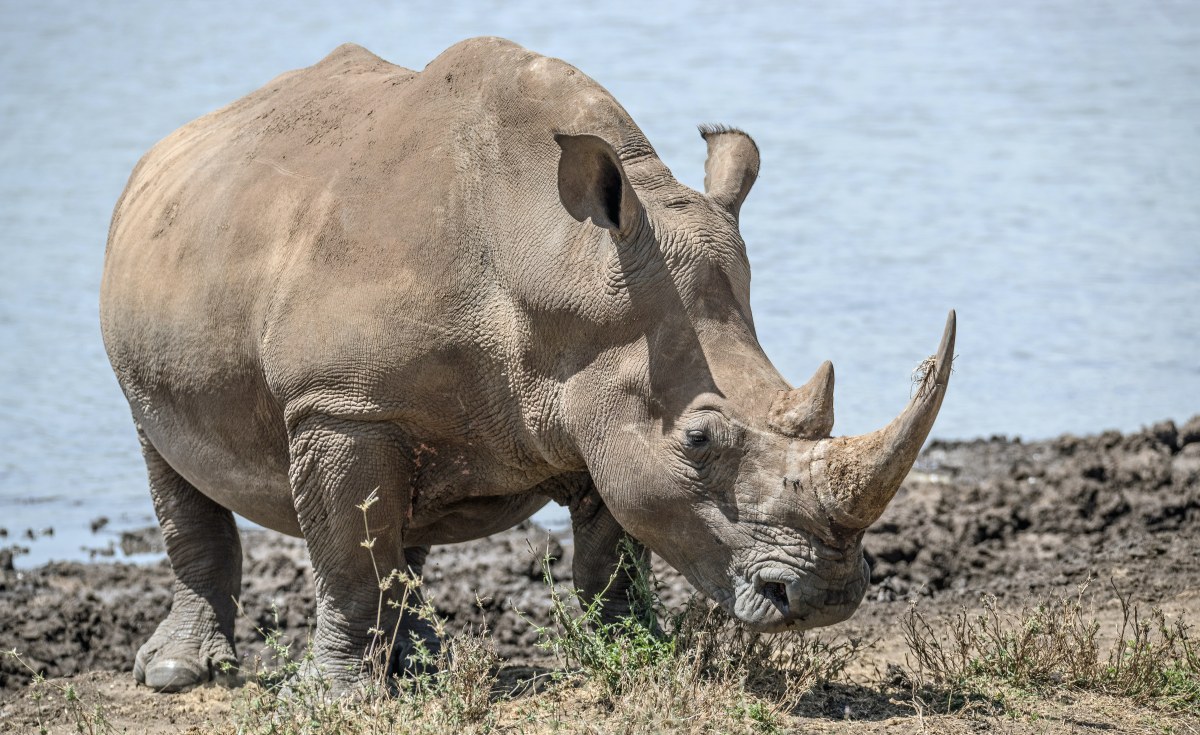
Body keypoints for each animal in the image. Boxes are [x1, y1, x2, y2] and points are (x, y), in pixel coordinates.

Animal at [98, 37, 950, 691]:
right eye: (700, 440)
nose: (827, 595)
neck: (556, 258)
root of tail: (164, 149)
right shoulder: (338, 403)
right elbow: (348, 554)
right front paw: (330, 695)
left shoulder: (602, 389)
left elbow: (613, 547)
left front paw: (635, 649)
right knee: (167, 456)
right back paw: (179, 674)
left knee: (405, 508)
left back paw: (422, 664)